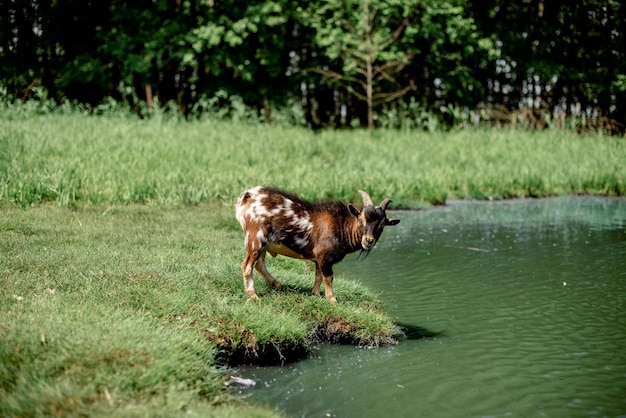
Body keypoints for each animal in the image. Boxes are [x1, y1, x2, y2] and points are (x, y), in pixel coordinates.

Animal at [234, 188, 400, 302]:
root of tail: (248, 196)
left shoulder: (318, 259)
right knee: (247, 266)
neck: (341, 226)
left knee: (259, 264)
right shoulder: (325, 257)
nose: (368, 241)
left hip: (262, 243)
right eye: (360, 220)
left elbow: (319, 276)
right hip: (256, 239)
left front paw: (315, 294)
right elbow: (329, 277)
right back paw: (253, 295)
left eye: (381, 226)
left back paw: (277, 284)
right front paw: (332, 300)